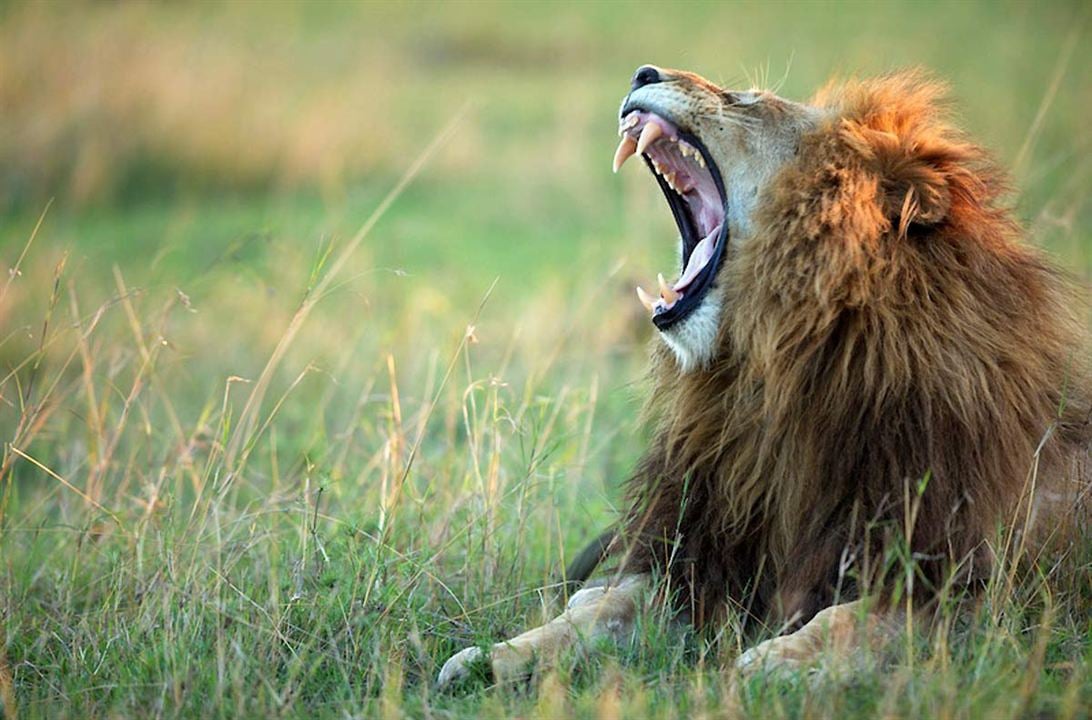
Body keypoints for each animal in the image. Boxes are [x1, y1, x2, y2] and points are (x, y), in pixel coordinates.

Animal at [436, 66, 1092, 686]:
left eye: (751, 101)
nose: (643, 73)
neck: (769, 379)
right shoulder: (706, 553)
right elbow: (602, 606)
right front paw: (493, 657)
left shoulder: (984, 586)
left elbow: (872, 616)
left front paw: (783, 659)